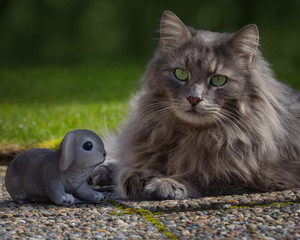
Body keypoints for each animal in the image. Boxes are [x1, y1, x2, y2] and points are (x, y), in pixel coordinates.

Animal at [91, 10, 300, 200]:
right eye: (181, 74)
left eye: (218, 80)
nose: (194, 98)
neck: (190, 135)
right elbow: (131, 165)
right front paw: (136, 175)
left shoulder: (261, 174)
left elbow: (202, 175)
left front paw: (163, 183)